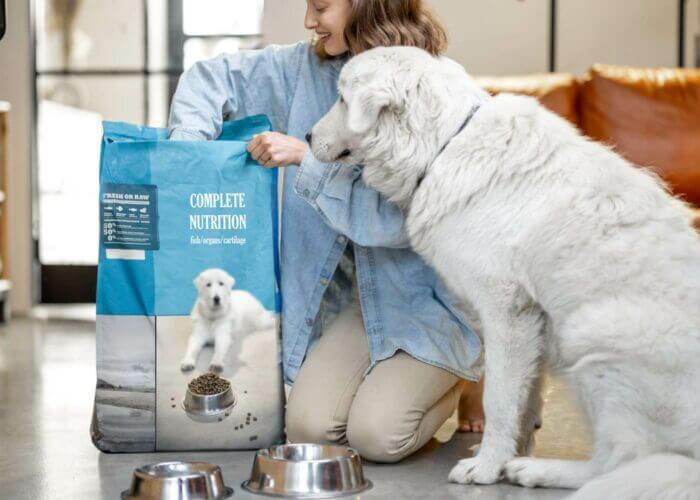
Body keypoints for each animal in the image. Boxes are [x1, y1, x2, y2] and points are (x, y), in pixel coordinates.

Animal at [310, 47, 700, 496]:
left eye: (342, 99)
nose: (305, 137)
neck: (445, 144)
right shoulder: (531, 325)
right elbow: (523, 399)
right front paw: (511, 450)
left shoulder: (505, 312)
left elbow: (498, 398)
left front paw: (486, 466)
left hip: (587, 333)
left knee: (620, 462)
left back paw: (539, 470)